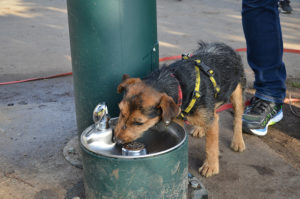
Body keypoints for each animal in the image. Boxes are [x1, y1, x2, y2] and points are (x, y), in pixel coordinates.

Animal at [112, 42, 246, 177]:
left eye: (139, 123)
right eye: (121, 112)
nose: (116, 140)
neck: (178, 83)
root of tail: (224, 45)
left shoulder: (211, 122)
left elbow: (211, 145)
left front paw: (211, 166)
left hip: (237, 93)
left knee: (237, 117)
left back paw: (238, 141)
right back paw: (200, 128)